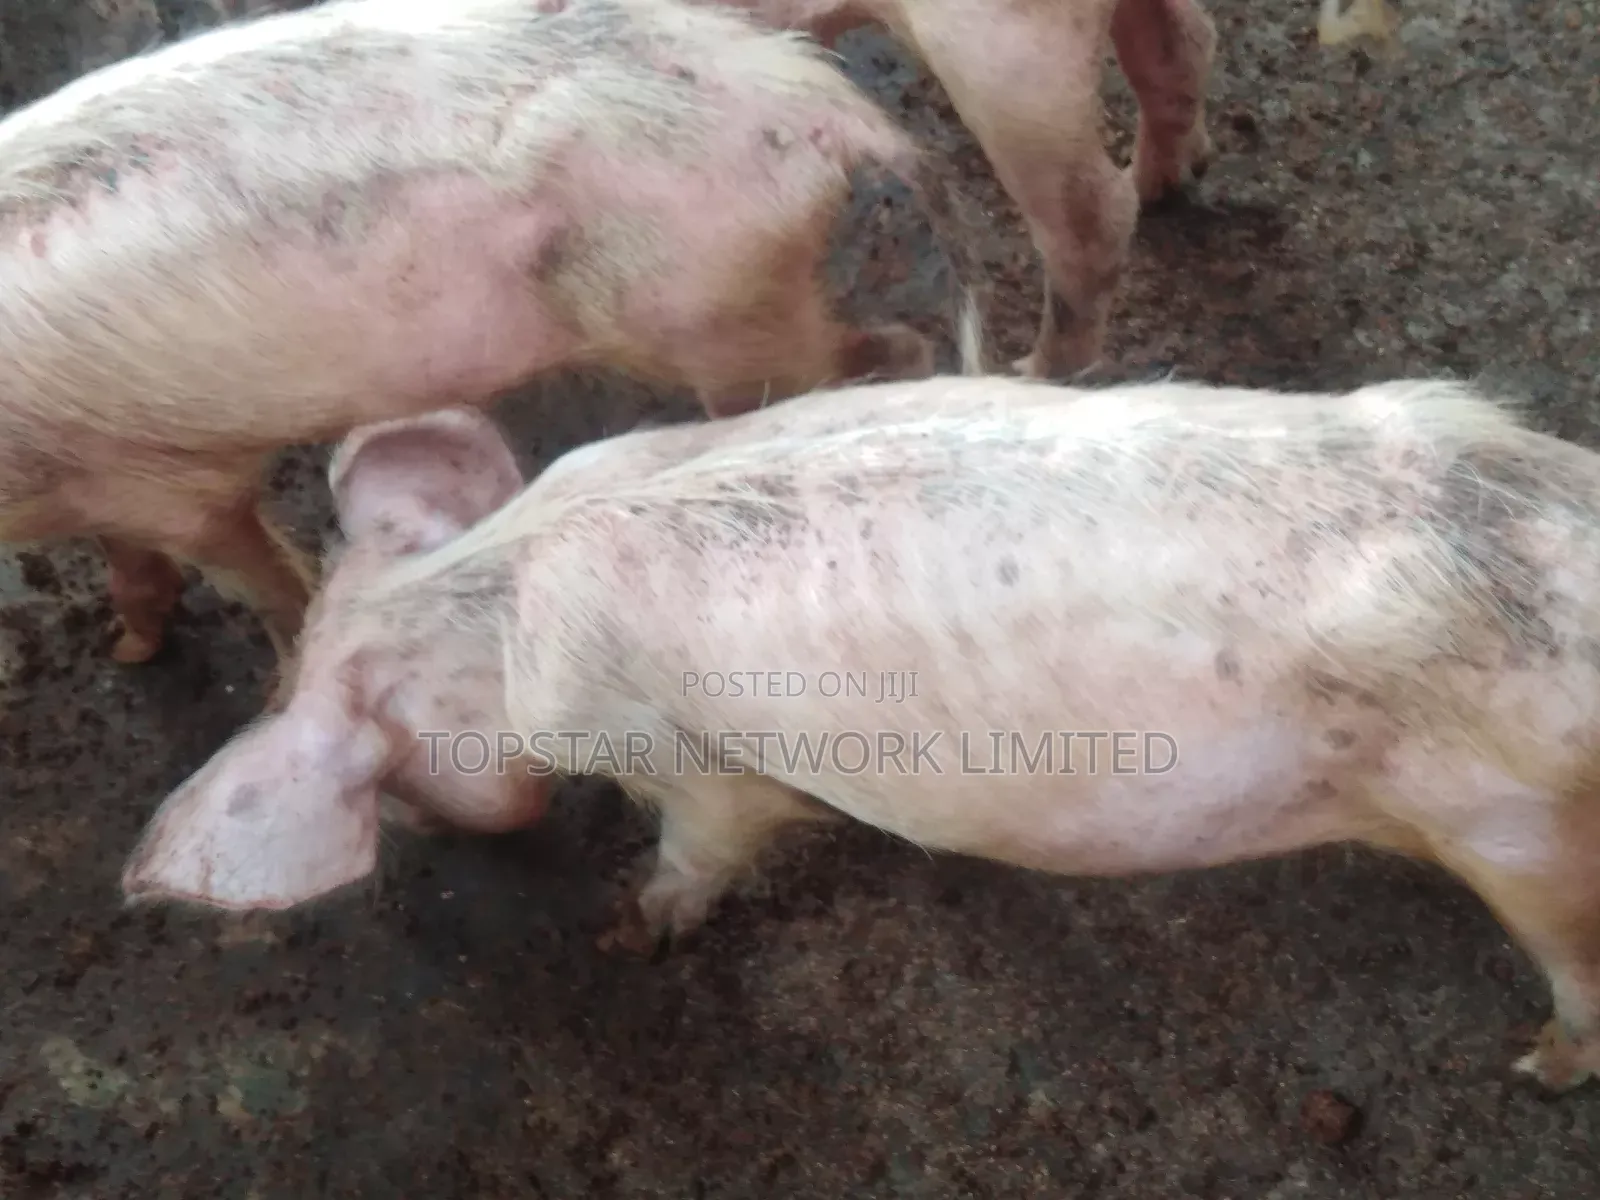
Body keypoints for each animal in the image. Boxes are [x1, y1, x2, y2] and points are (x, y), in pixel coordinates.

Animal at [0, 0, 989, 669]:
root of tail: (824, 103)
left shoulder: (167, 479)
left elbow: (257, 579)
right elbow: (132, 562)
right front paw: (129, 646)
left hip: (723, 309)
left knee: (866, 360)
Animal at [122, 371, 1600, 1093]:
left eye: (392, 783)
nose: (453, 835)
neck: (497, 601)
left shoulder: (690, 765)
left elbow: (708, 846)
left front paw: (628, 932)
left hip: (1515, 826)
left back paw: (1535, 1074)